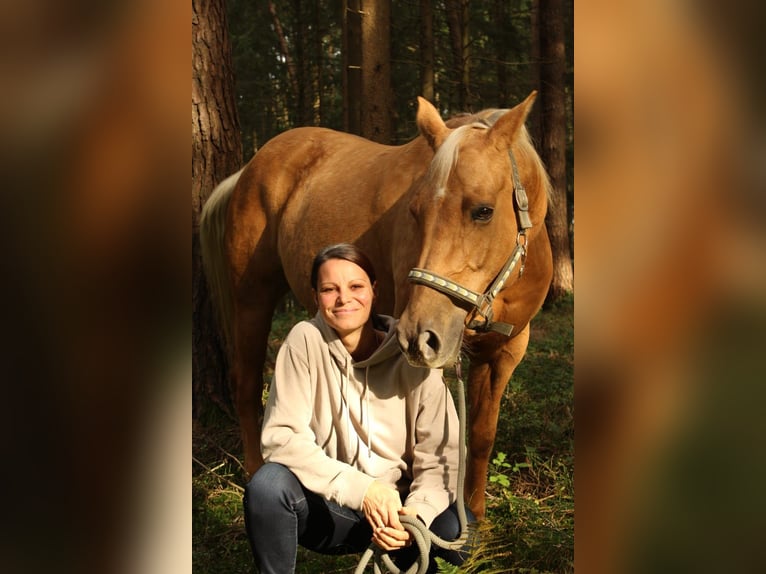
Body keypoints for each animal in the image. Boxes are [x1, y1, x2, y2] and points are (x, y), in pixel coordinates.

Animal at [200, 92, 552, 519]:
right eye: (415, 211)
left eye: (483, 210)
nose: (420, 335)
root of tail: (249, 169)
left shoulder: (505, 351)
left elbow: (481, 435)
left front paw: (475, 519)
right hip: (252, 298)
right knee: (247, 383)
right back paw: (254, 469)